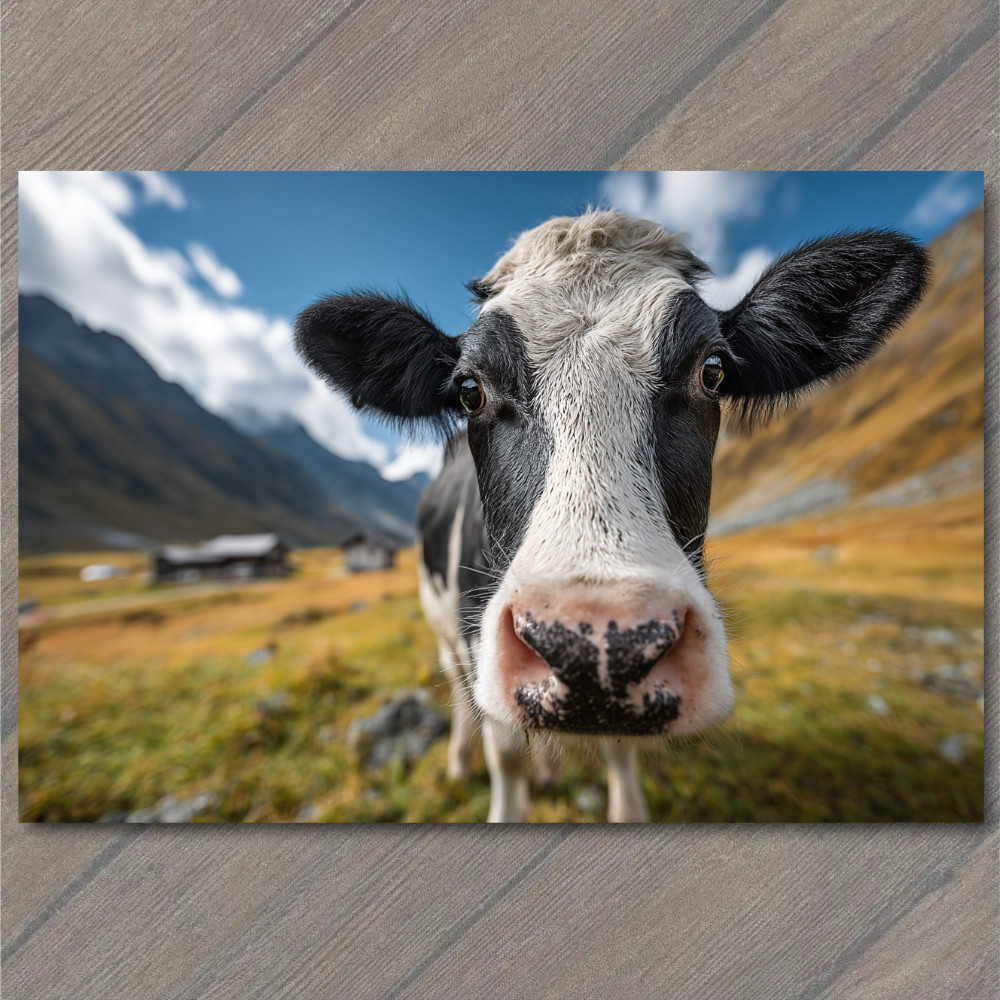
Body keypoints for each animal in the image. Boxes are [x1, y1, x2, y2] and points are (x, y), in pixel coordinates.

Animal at [294, 210, 929, 822]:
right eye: (470, 390)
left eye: (713, 370)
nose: (598, 646)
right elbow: (505, 757)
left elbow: (620, 765)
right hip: (441, 621)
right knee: (455, 685)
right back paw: (458, 761)